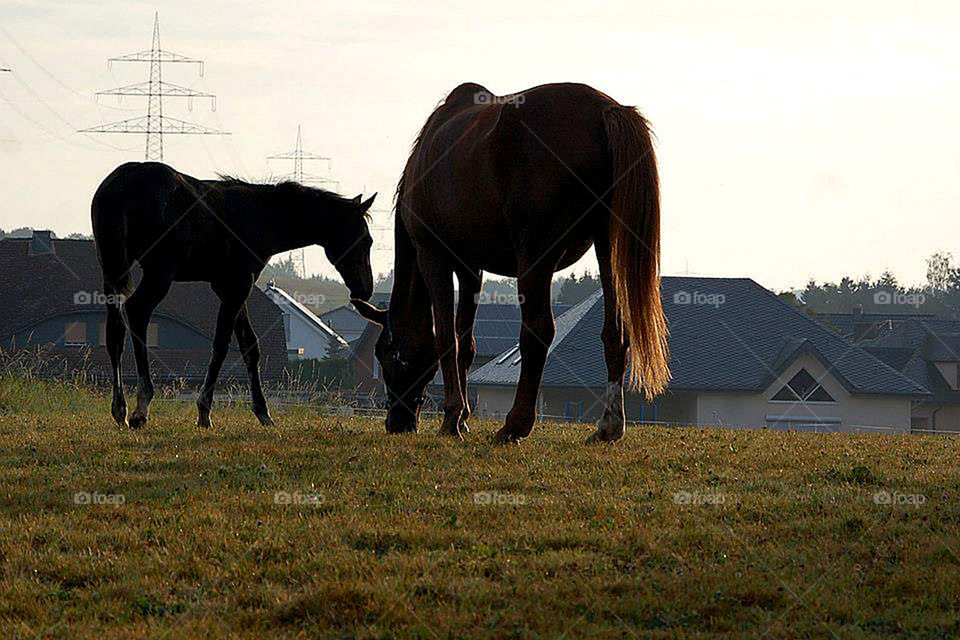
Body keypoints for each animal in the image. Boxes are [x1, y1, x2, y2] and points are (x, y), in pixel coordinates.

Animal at [91, 162, 376, 429]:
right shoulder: (239, 286)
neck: (260, 215)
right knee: (138, 312)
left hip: (113, 270)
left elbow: (249, 346)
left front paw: (262, 412)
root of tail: (121, 185)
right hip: (160, 273)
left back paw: (120, 409)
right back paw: (141, 408)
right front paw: (204, 412)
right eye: (365, 240)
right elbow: (222, 345)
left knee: (115, 332)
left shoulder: (227, 287)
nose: (365, 289)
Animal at [353, 82, 669, 444]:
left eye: (385, 353)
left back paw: (516, 424)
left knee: (539, 330)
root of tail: (604, 110)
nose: (397, 422)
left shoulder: (434, 256)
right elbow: (466, 343)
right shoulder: (471, 268)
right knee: (615, 331)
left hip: (535, 256)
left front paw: (452, 419)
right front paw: (462, 418)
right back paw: (608, 425)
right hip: (605, 246)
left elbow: (447, 337)